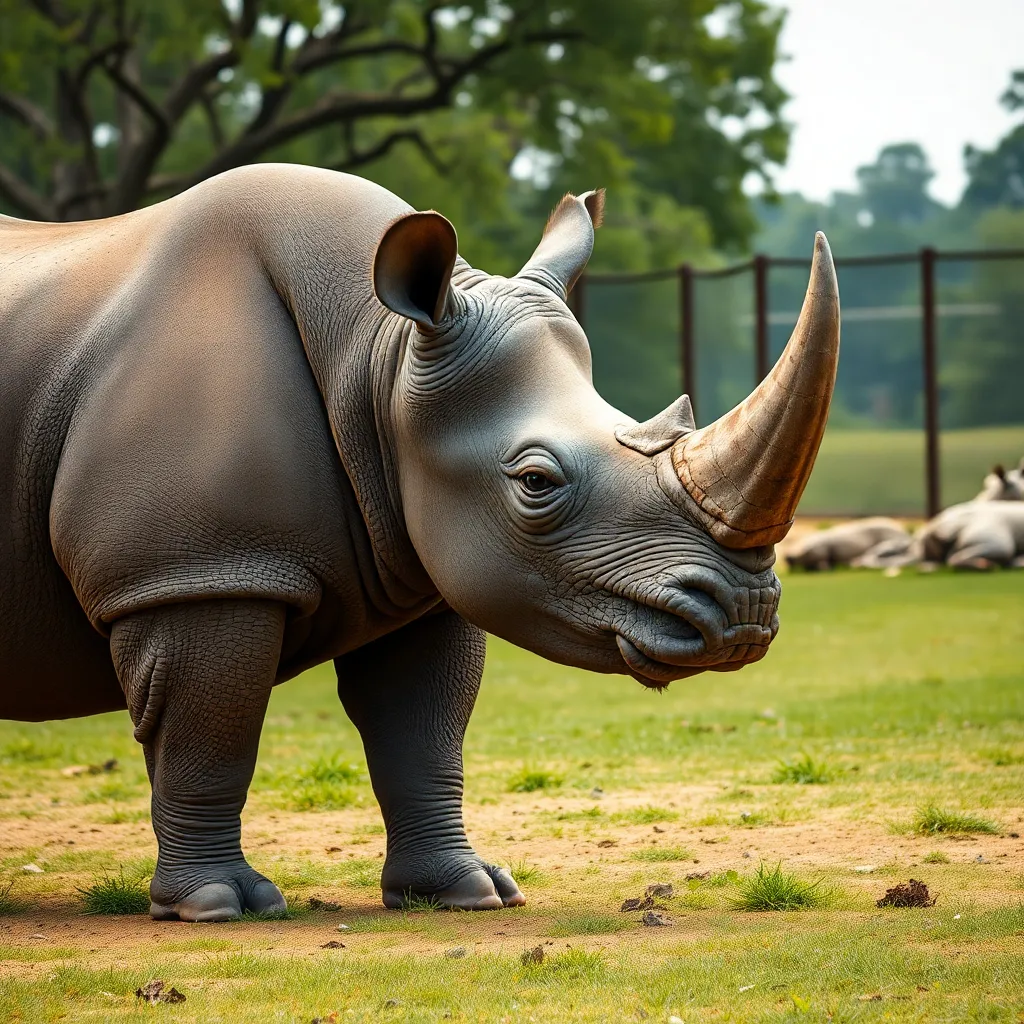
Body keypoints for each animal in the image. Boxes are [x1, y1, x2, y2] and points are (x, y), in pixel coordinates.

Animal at [0, 164, 839, 921]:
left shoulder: (421, 573)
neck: (378, 355)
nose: (745, 616)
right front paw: (217, 905)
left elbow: (423, 733)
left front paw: (467, 892)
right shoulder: (195, 572)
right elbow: (210, 733)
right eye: (537, 482)